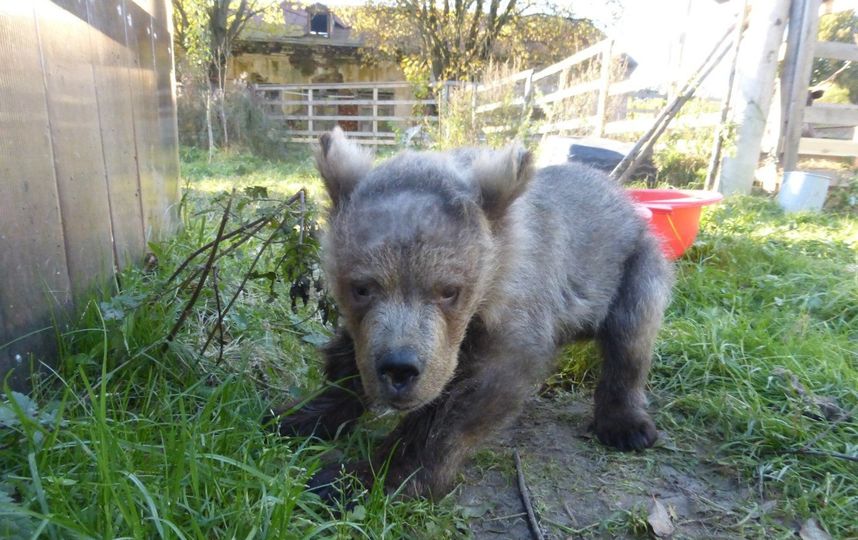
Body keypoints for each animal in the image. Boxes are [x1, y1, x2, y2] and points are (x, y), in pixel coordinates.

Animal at [267, 127, 674, 499]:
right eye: (361, 287)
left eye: (449, 291)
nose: (400, 370)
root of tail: (619, 191)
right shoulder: (373, 329)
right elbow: (347, 360)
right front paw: (297, 417)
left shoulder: (515, 314)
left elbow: (459, 410)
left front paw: (360, 479)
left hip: (635, 266)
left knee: (631, 338)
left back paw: (626, 426)